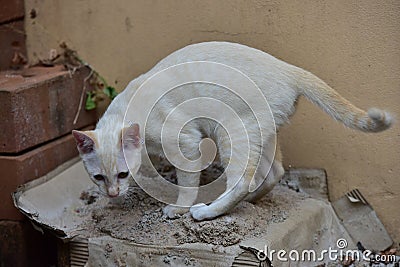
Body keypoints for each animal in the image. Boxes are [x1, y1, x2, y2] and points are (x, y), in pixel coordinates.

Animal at [72, 42, 390, 222]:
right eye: (98, 177)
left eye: (122, 174)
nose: (112, 194)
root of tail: (288, 69)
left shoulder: (186, 144)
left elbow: (186, 185)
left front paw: (178, 208)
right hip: (260, 135)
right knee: (271, 174)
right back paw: (244, 202)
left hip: (232, 134)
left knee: (242, 181)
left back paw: (206, 211)